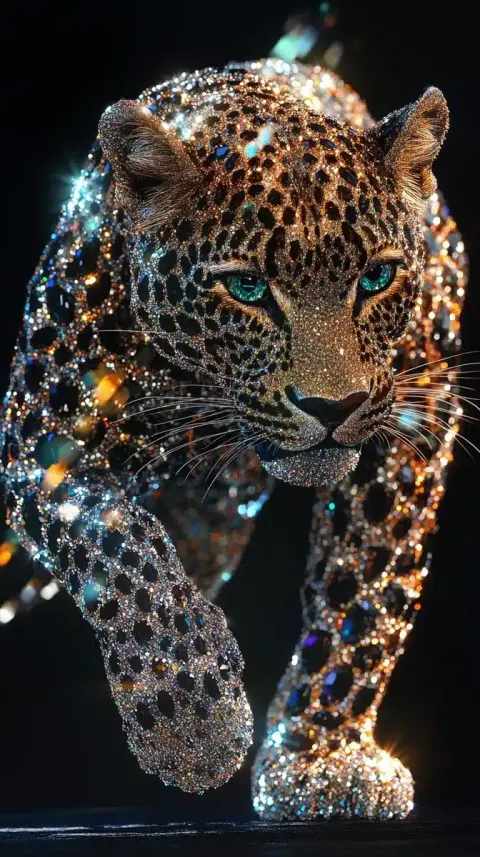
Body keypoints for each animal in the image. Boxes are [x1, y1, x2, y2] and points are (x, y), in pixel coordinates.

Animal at [0, 59, 467, 819]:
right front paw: (195, 724)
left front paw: (319, 761)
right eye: (247, 289)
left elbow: (366, 591)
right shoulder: (39, 444)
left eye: (377, 277)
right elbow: (122, 552)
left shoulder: (414, 426)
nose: (333, 405)